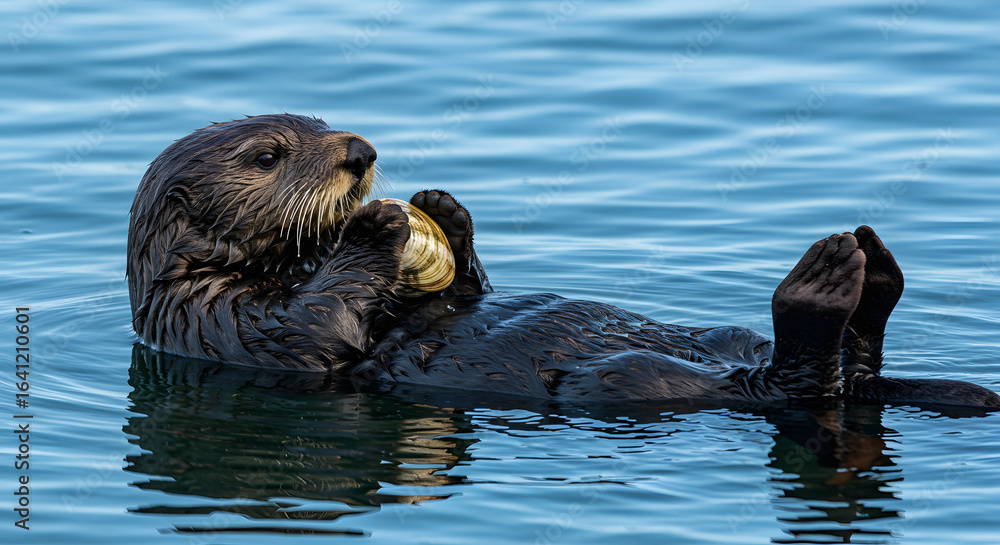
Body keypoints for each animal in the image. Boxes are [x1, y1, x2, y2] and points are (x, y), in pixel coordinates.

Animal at [127, 113, 1000, 408]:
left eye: (319, 119)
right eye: (270, 154)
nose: (361, 153)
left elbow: (459, 292)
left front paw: (445, 210)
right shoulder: (215, 318)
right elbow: (316, 328)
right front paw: (375, 226)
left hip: (722, 338)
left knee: (835, 364)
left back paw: (871, 273)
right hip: (639, 381)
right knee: (797, 382)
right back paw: (829, 284)